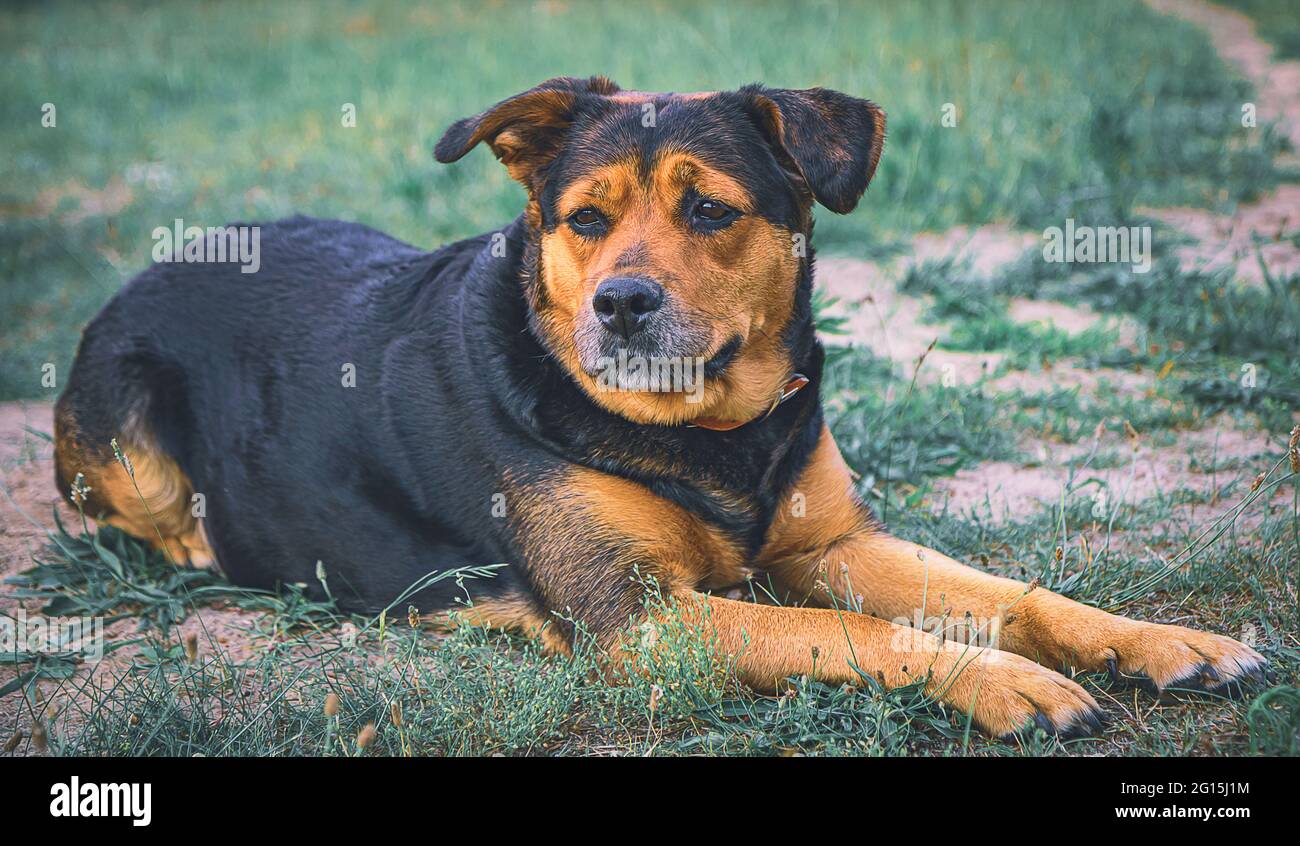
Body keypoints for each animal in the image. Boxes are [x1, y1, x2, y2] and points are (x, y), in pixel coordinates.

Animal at [55, 79, 1263, 743]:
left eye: (711, 210)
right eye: (584, 220)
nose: (621, 303)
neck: (713, 434)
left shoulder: (831, 543)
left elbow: (1008, 593)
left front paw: (1156, 640)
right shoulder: (648, 619)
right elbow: (862, 632)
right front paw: (1009, 684)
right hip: (122, 436)